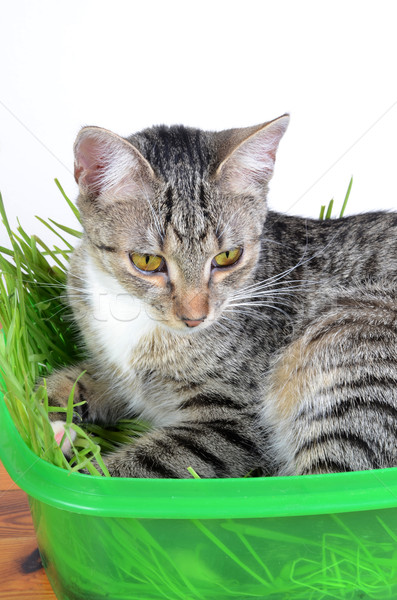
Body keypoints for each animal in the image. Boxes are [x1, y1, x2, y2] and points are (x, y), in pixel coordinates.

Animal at [44, 113, 396, 478]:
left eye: (228, 256)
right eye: (147, 261)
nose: (195, 317)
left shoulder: (232, 421)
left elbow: (131, 472)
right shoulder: (114, 372)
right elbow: (71, 380)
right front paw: (45, 419)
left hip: (349, 346)